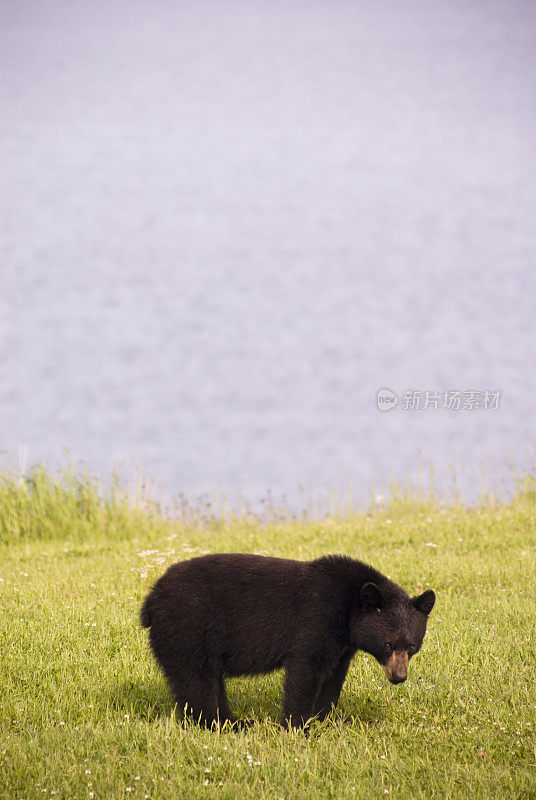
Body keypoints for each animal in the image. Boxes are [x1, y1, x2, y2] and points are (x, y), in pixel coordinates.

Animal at [139, 552, 436, 728]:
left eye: (412, 646)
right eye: (388, 644)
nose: (399, 677)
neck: (348, 607)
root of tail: (151, 598)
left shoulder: (342, 646)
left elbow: (332, 678)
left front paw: (322, 721)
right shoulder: (316, 619)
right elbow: (306, 670)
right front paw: (296, 727)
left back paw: (236, 723)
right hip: (187, 631)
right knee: (196, 682)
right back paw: (222, 725)